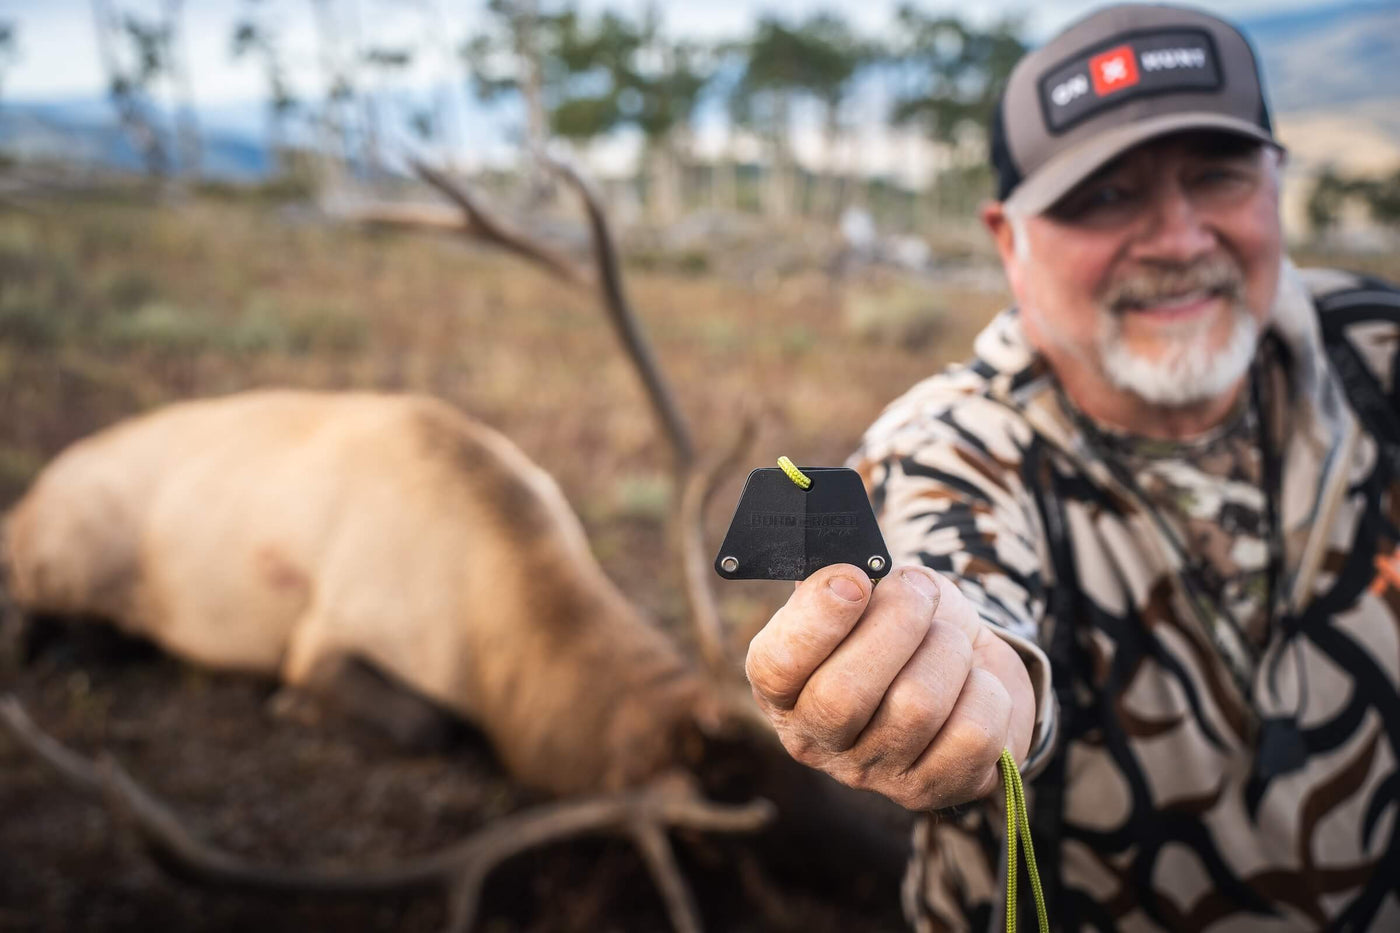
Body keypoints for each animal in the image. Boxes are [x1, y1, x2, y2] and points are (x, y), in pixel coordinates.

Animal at [0, 155, 909, 933]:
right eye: (729, 830)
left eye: (795, 758)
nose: (896, 865)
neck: (488, 604)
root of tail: (23, 507)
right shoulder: (322, 640)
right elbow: (424, 724)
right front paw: (293, 706)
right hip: (68, 555)